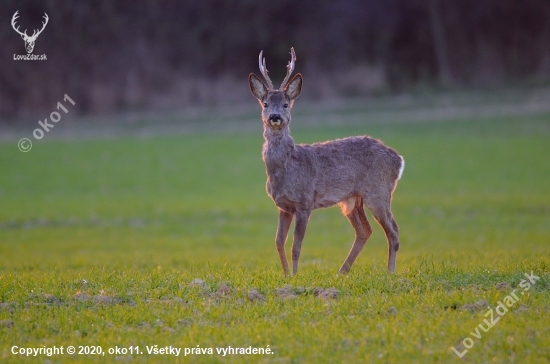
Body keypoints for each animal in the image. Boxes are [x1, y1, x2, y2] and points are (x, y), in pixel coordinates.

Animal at [250, 49, 406, 276]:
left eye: (286, 104)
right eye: (265, 103)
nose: (275, 116)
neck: (285, 170)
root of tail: (398, 160)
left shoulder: (304, 202)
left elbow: (296, 245)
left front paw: (295, 275)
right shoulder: (284, 206)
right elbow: (279, 242)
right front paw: (286, 274)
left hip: (379, 191)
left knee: (393, 230)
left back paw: (390, 272)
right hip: (352, 199)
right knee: (365, 231)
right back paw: (342, 272)